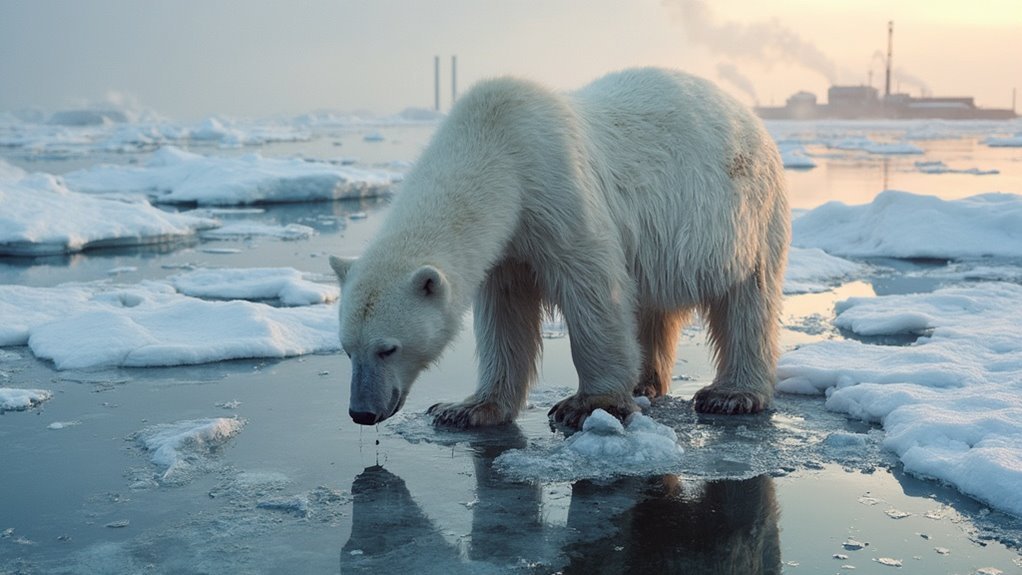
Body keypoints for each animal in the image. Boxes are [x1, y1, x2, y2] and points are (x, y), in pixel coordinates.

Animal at [331, 66, 784, 426]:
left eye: (388, 349)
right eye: (347, 349)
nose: (362, 413)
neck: (495, 144)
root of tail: (749, 115)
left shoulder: (556, 189)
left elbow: (593, 286)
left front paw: (589, 405)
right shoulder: (508, 246)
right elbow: (506, 315)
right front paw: (465, 409)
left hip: (746, 213)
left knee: (749, 300)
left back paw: (731, 395)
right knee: (654, 303)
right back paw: (644, 381)